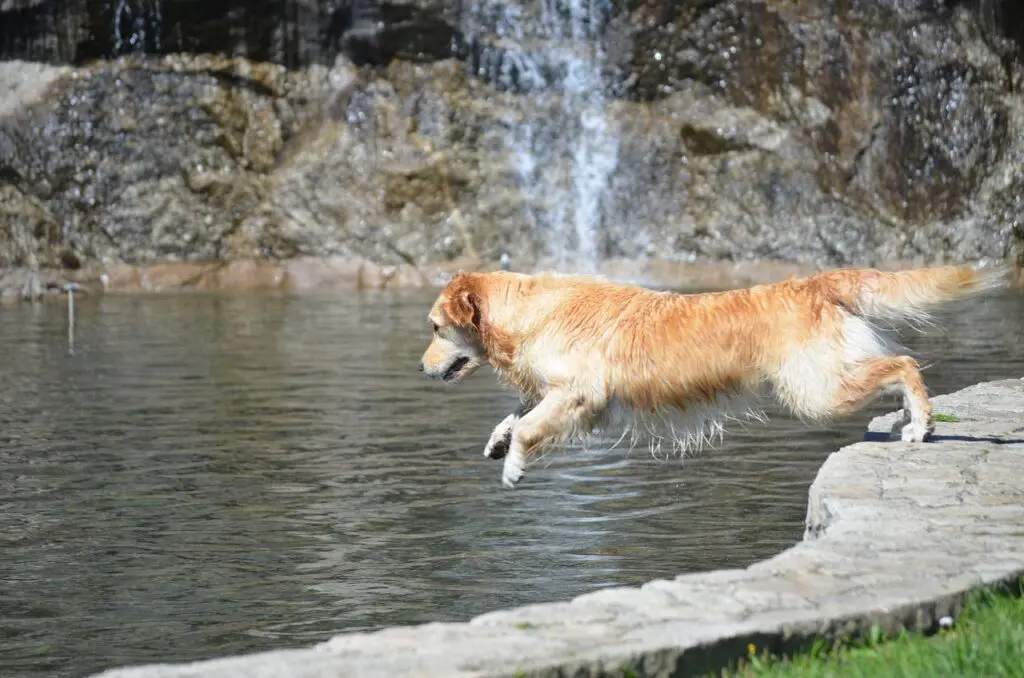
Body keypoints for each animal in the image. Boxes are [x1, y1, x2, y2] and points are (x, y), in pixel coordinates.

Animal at [415, 264, 1007, 489]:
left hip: (815, 390)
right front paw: (497, 441)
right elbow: (518, 413)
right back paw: (911, 422)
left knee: (903, 364)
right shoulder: (564, 395)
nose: (419, 368)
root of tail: (814, 282)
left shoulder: (582, 395)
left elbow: (532, 425)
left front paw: (513, 466)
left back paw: (920, 423)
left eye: (437, 328)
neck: (529, 314)